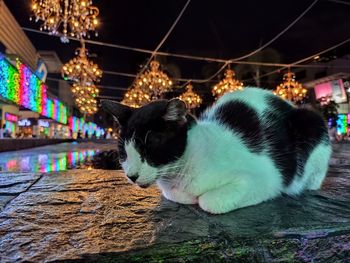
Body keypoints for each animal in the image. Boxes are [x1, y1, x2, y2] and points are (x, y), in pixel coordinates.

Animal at [102, 87, 332, 216]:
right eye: (123, 151)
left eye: (150, 146)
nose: (131, 176)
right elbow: (174, 195)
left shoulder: (267, 178)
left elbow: (209, 202)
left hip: (313, 122)